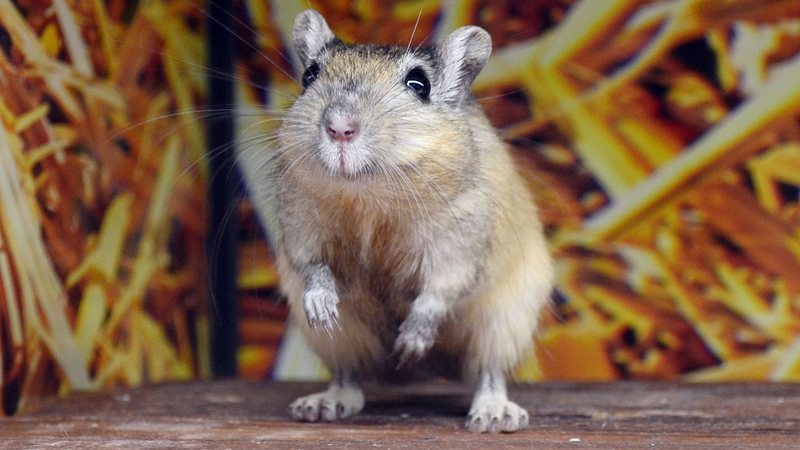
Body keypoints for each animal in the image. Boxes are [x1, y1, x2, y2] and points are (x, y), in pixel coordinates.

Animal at [241, 10, 553, 433]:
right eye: (309, 74)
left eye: (419, 84)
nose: (340, 128)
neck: (369, 197)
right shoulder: (301, 230)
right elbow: (313, 269)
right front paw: (322, 308)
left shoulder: (460, 245)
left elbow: (438, 292)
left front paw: (409, 343)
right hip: (346, 339)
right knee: (348, 374)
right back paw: (325, 403)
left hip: (505, 319)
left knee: (489, 372)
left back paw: (492, 413)